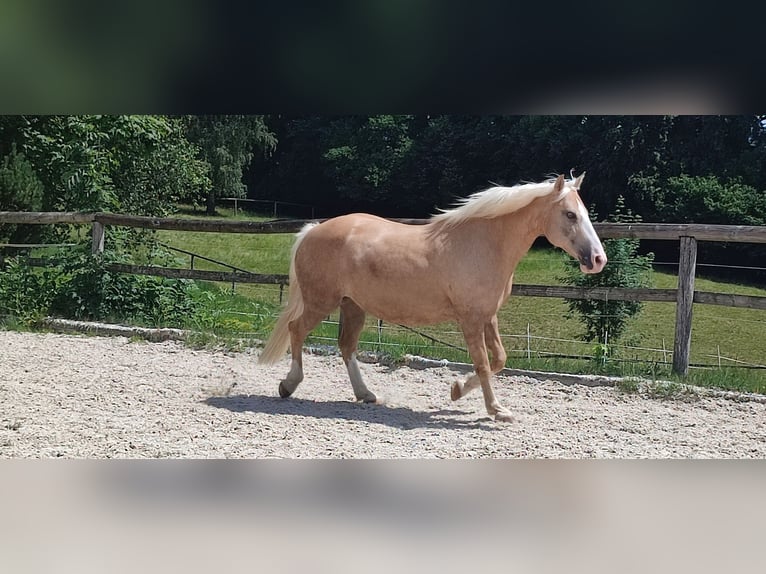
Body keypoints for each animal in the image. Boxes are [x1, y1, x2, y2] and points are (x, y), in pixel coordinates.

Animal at [258, 173, 606, 422]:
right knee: (297, 330)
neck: (485, 244)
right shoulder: (470, 320)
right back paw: (289, 385)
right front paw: (496, 410)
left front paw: (457, 391)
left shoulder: (487, 316)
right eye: (570, 215)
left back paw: (367, 394)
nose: (598, 259)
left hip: (353, 306)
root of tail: (312, 230)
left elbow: (499, 359)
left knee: (346, 347)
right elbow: (483, 363)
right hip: (321, 301)